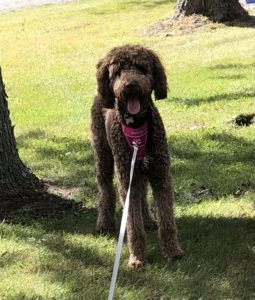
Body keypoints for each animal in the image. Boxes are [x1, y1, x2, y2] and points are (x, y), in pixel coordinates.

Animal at [90, 44, 184, 268]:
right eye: (117, 72)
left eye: (141, 68)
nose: (131, 85)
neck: (136, 124)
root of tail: (100, 95)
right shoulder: (127, 178)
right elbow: (132, 224)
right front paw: (137, 257)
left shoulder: (160, 173)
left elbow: (167, 218)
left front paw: (172, 250)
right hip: (104, 156)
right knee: (105, 190)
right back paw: (104, 222)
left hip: (140, 168)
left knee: (142, 192)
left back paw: (148, 220)